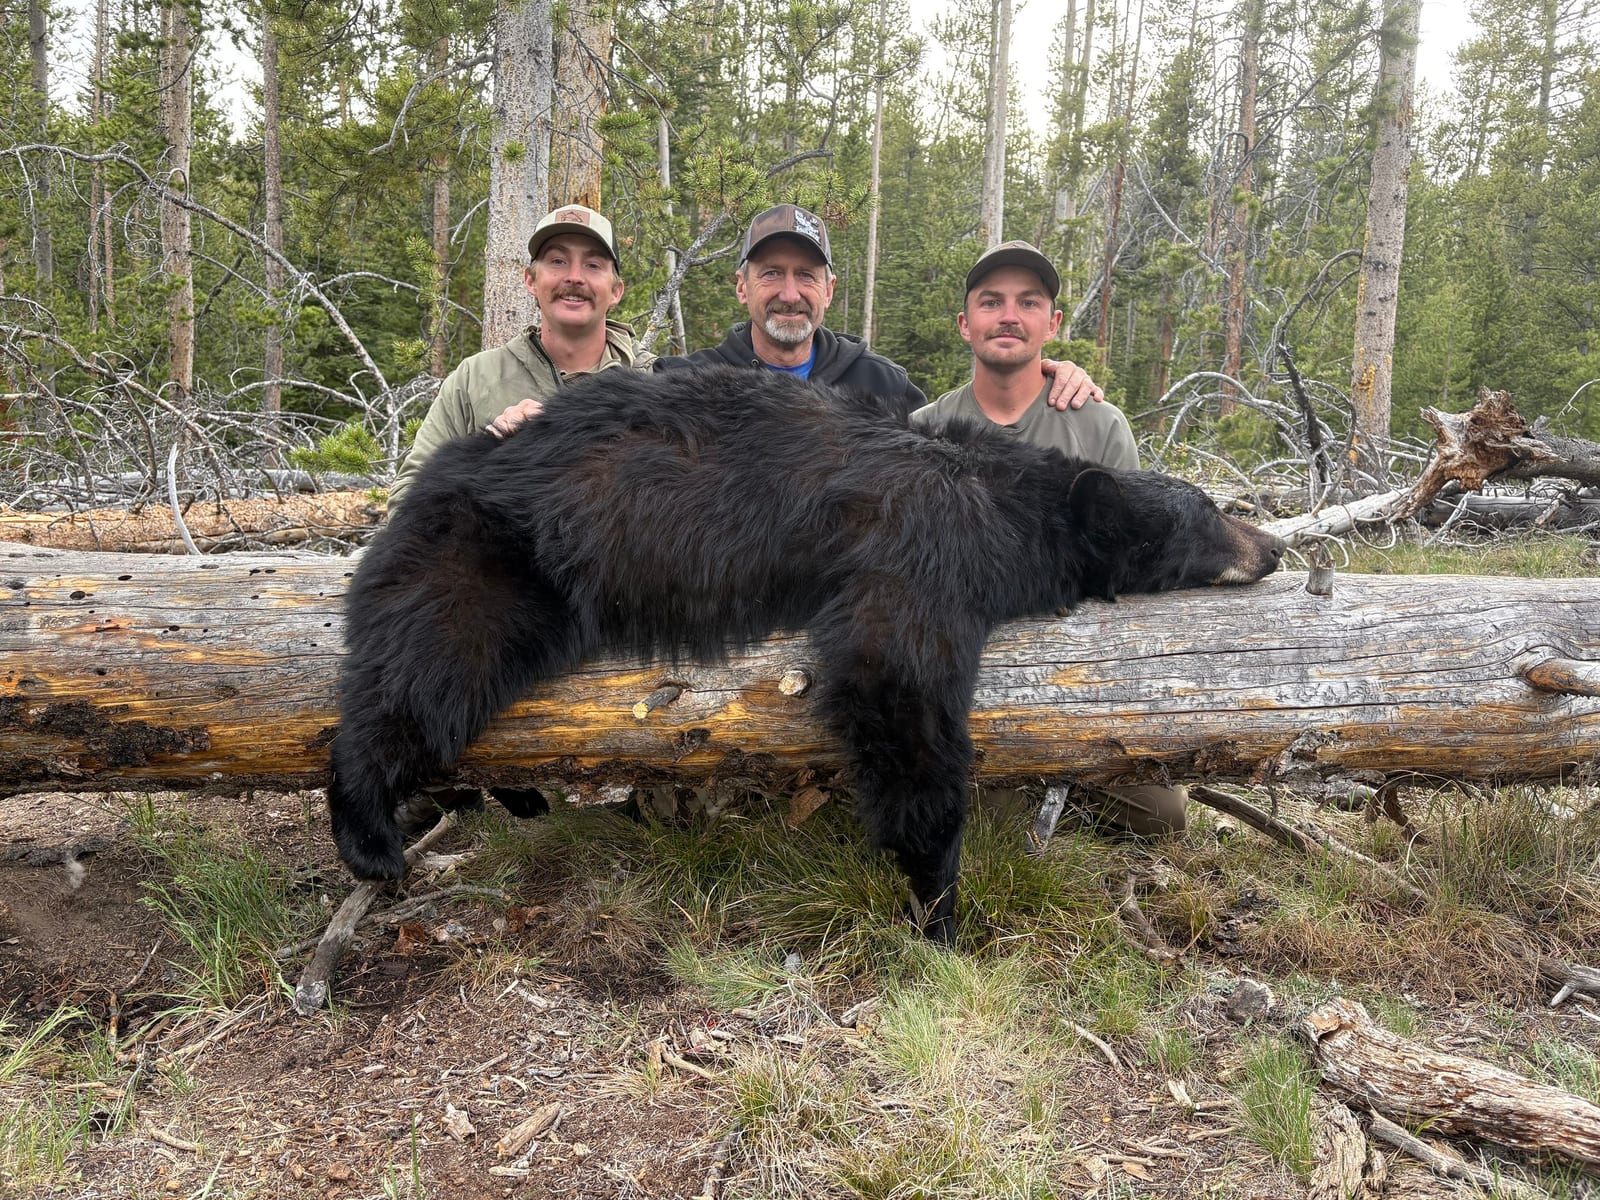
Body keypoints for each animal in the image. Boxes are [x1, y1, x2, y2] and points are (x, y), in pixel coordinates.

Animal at [328, 365, 1285, 943]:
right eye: (1210, 511)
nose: (1276, 546)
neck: (1010, 500)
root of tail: (436, 470)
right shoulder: (925, 540)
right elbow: (897, 678)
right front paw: (939, 902)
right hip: (495, 552)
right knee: (425, 663)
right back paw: (370, 834)